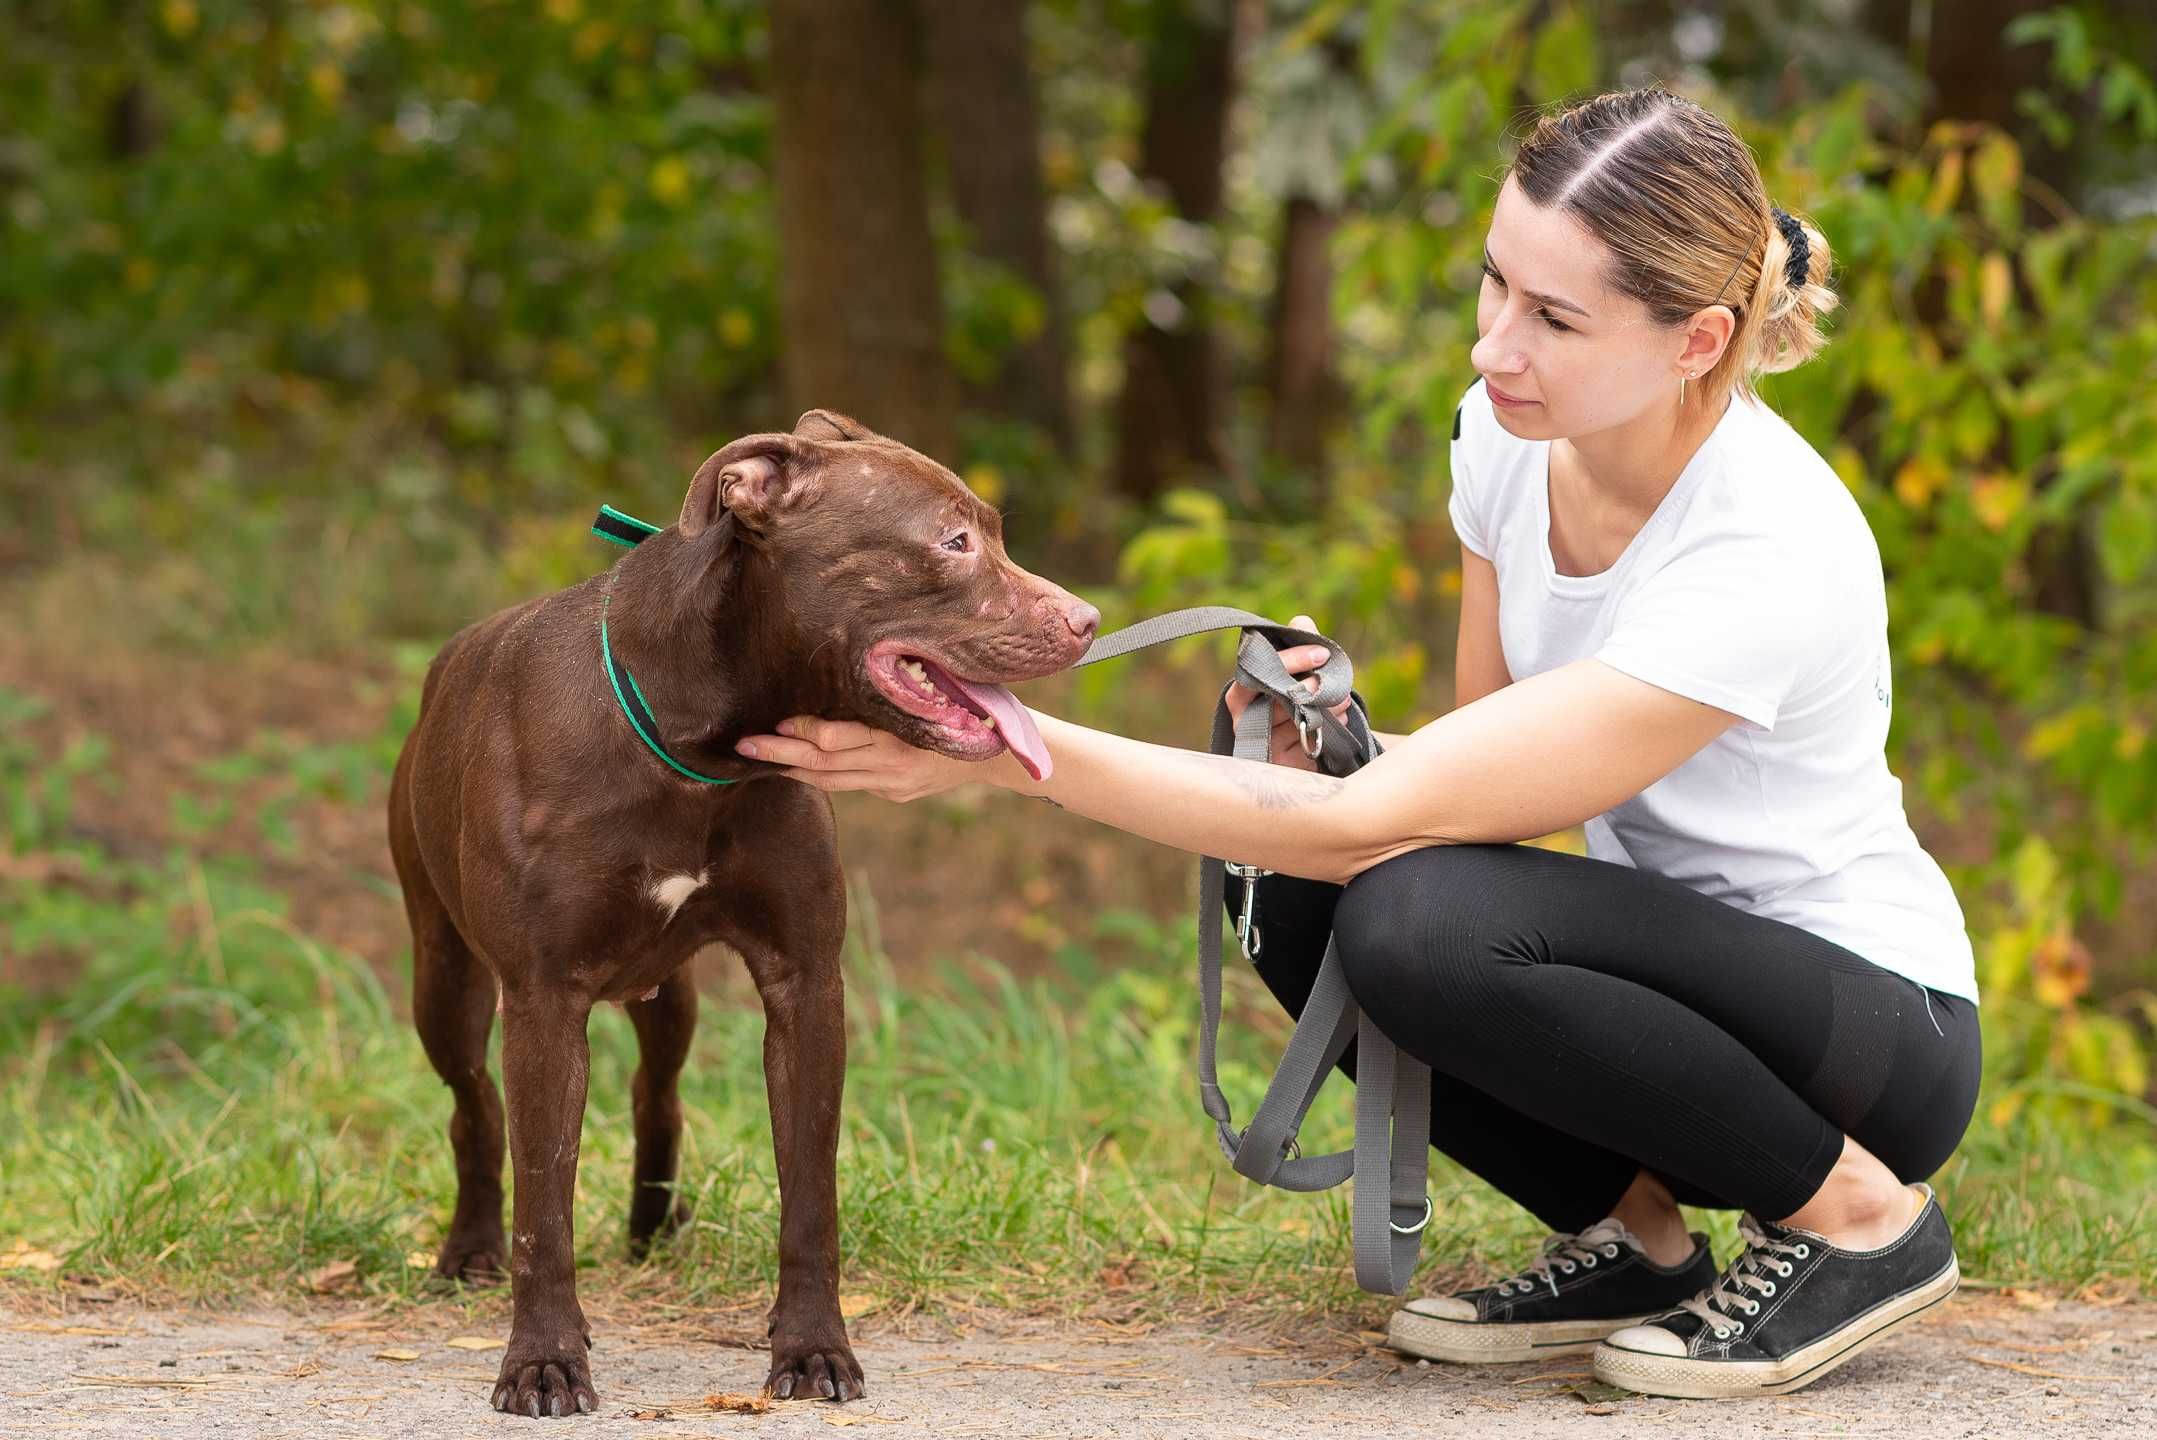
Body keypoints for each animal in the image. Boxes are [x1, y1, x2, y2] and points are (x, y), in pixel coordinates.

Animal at [383, 407, 1095, 1414]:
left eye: (992, 532)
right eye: (952, 542)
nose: (1087, 621)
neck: (694, 745)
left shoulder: (805, 987)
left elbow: (809, 1196)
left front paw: (813, 1348)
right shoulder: (542, 1000)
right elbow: (544, 1208)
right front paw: (543, 1360)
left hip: (666, 992)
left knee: (656, 1090)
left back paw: (652, 1226)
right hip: (444, 975)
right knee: (474, 1103)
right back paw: (470, 1246)